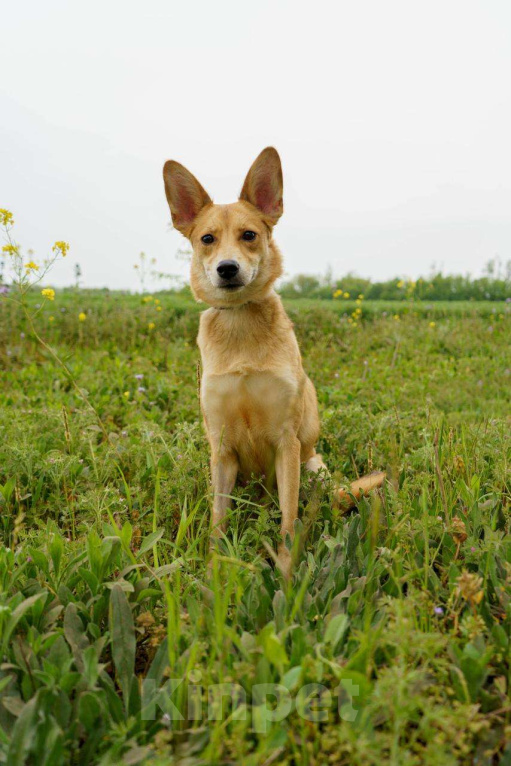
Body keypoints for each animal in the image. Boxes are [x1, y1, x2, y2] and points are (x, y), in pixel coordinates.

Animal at [164, 148, 384, 576]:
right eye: (207, 239)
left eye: (249, 235)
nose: (227, 268)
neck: (240, 325)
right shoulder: (220, 449)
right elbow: (218, 519)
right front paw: (215, 570)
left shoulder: (287, 441)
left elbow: (288, 518)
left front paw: (285, 570)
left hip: (312, 468)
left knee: (313, 508)